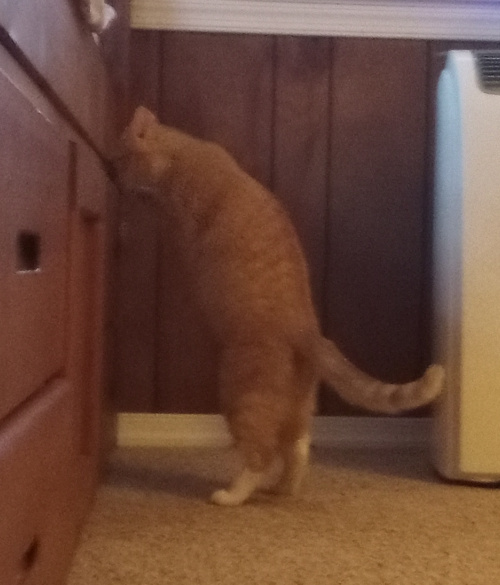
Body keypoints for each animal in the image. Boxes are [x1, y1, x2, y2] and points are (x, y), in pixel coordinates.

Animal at [115, 107, 444, 504]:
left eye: (119, 159)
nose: (111, 176)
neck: (187, 153)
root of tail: (308, 330)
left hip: (242, 393)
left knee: (259, 454)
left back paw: (232, 494)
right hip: (296, 408)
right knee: (298, 450)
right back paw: (283, 490)